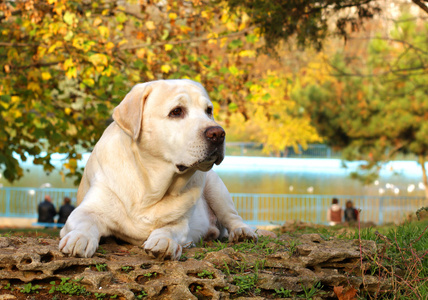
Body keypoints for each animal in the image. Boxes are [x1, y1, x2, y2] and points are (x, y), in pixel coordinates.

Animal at [58, 79, 256, 260]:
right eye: (176, 111)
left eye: (209, 111)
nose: (218, 133)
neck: (150, 188)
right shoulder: (87, 209)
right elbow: (85, 222)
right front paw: (79, 238)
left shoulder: (179, 223)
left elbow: (169, 229)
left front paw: (164, 242)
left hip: (216, 188)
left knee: (233, 217)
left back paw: (243, 232)